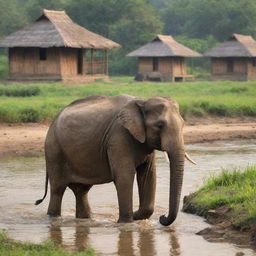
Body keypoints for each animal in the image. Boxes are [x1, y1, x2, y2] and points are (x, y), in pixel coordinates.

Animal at [35, 94, 192, 226]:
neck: (142, 100)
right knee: (58, 189)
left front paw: (137, 217)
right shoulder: (118, 137)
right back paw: (54, 218)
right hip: (54, 150)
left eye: (183, 124)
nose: (162, 217)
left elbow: (148, 176)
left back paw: (85, 219)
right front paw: (127, 223)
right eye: (159, 125)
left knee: (81, 190)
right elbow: (124, 177)